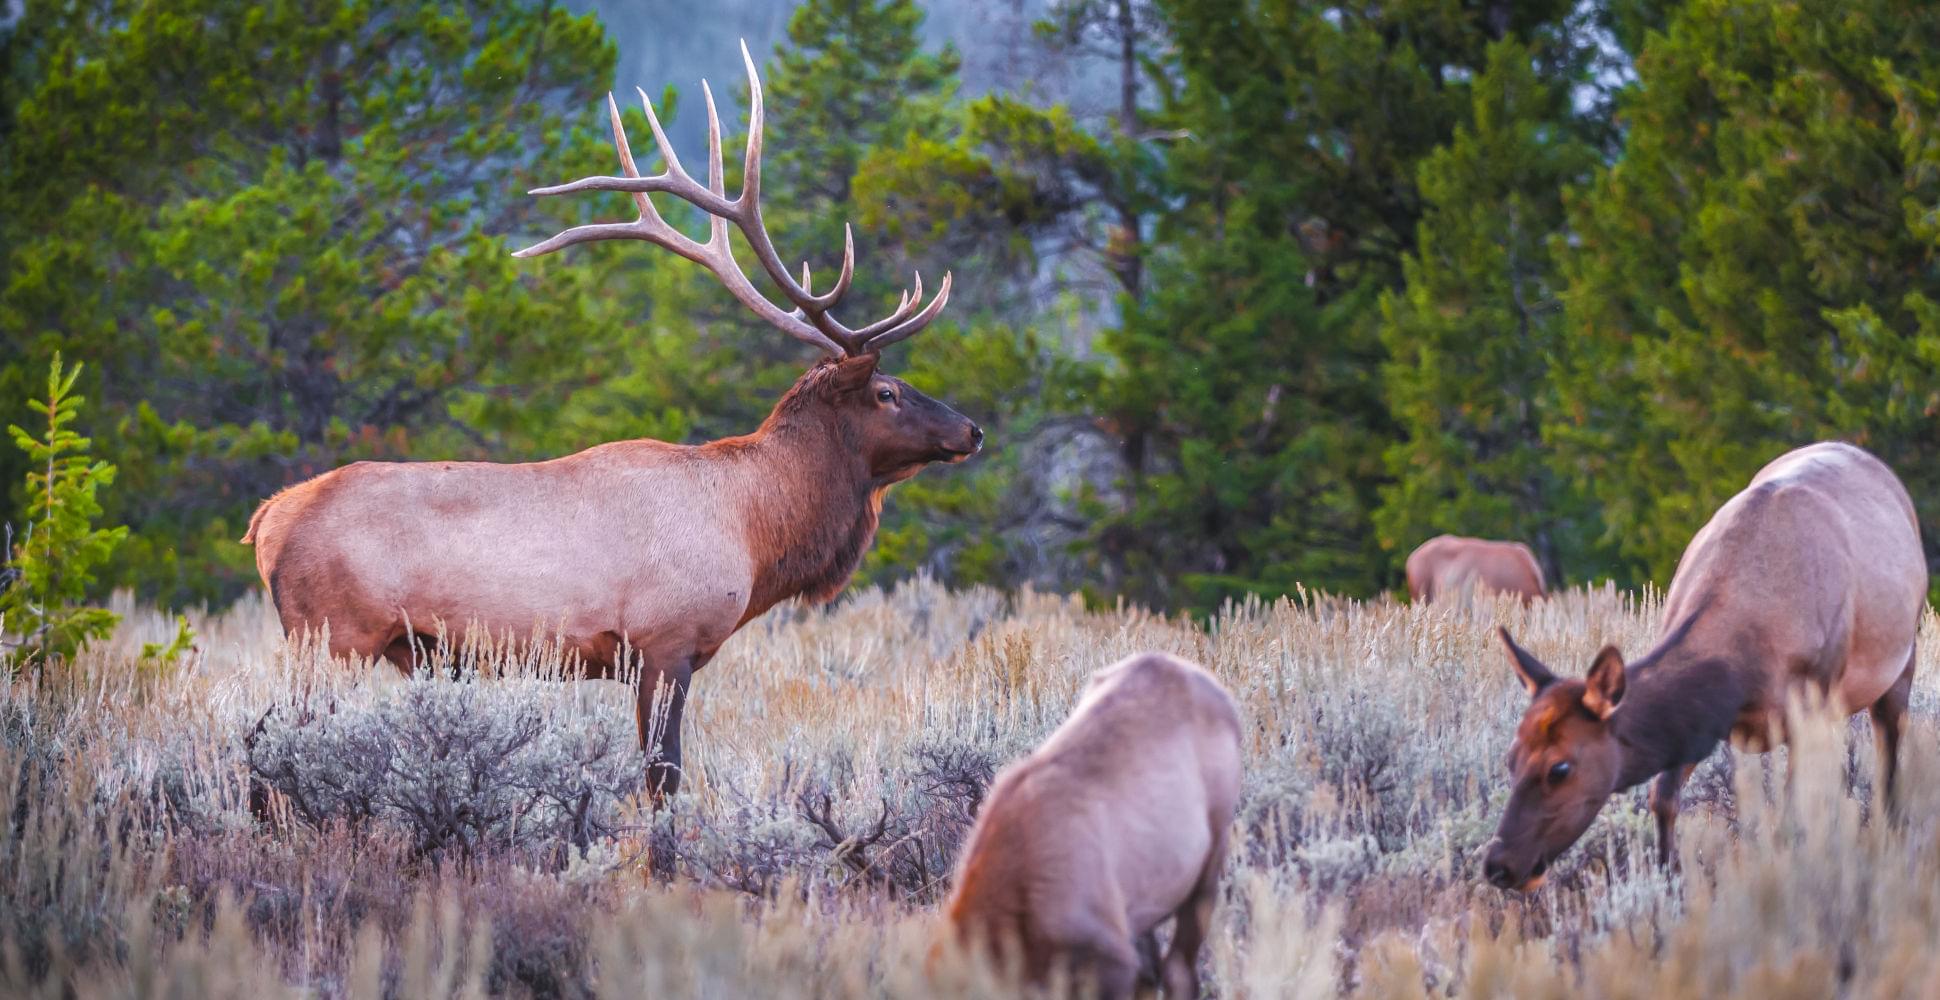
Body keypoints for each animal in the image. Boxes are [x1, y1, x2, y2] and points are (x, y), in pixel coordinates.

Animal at [242, 44, 982, 803]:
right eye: (888, 392)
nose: (972, 430)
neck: (755, 528)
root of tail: (267, 519)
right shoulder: (666, 641)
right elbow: (663, 776)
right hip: (334, 635)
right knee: (268, 740)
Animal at [1482, 442, 1926, 892]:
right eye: (1511, 757)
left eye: (1560, 767)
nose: (1498, 865)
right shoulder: (1704, 723)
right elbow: (1662, 798)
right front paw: (1668, 881)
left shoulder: (1810, 704)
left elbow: (1790, 819)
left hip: (1898, 663)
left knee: (1889, 760)